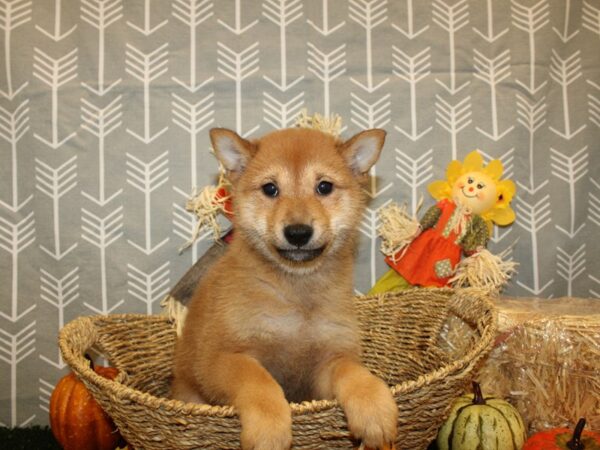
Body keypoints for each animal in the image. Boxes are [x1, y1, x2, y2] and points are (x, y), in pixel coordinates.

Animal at [172, 126, 398, 450]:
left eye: (324, 187)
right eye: (270, 189)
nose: (298, 233)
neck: (296, 294)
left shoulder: (325, 365)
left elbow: (354, 372)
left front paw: (374, 408)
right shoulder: (221, 358)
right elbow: (258, 380)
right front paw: (269, 429)